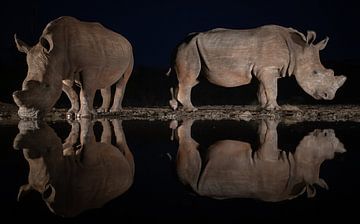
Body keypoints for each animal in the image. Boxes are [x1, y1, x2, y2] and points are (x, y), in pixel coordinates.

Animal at [170, 25, 348, 111]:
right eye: (315, 72)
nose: (329, 97)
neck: (298, 49)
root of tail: (180, 41)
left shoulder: (265, 69)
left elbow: (264, 89)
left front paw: (264, 107)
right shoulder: (268, 68)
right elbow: (272, 89)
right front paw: (275, 109)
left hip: (189, 48)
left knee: (190, 79)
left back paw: (175, 106)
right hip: (190, 49)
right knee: (189, 79)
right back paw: (191, 109)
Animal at [176, 119, 344, 201]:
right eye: (324, 135)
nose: (329, 130)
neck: (299, 169)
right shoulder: (267, 156)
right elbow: (269, 137)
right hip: (192, 179)